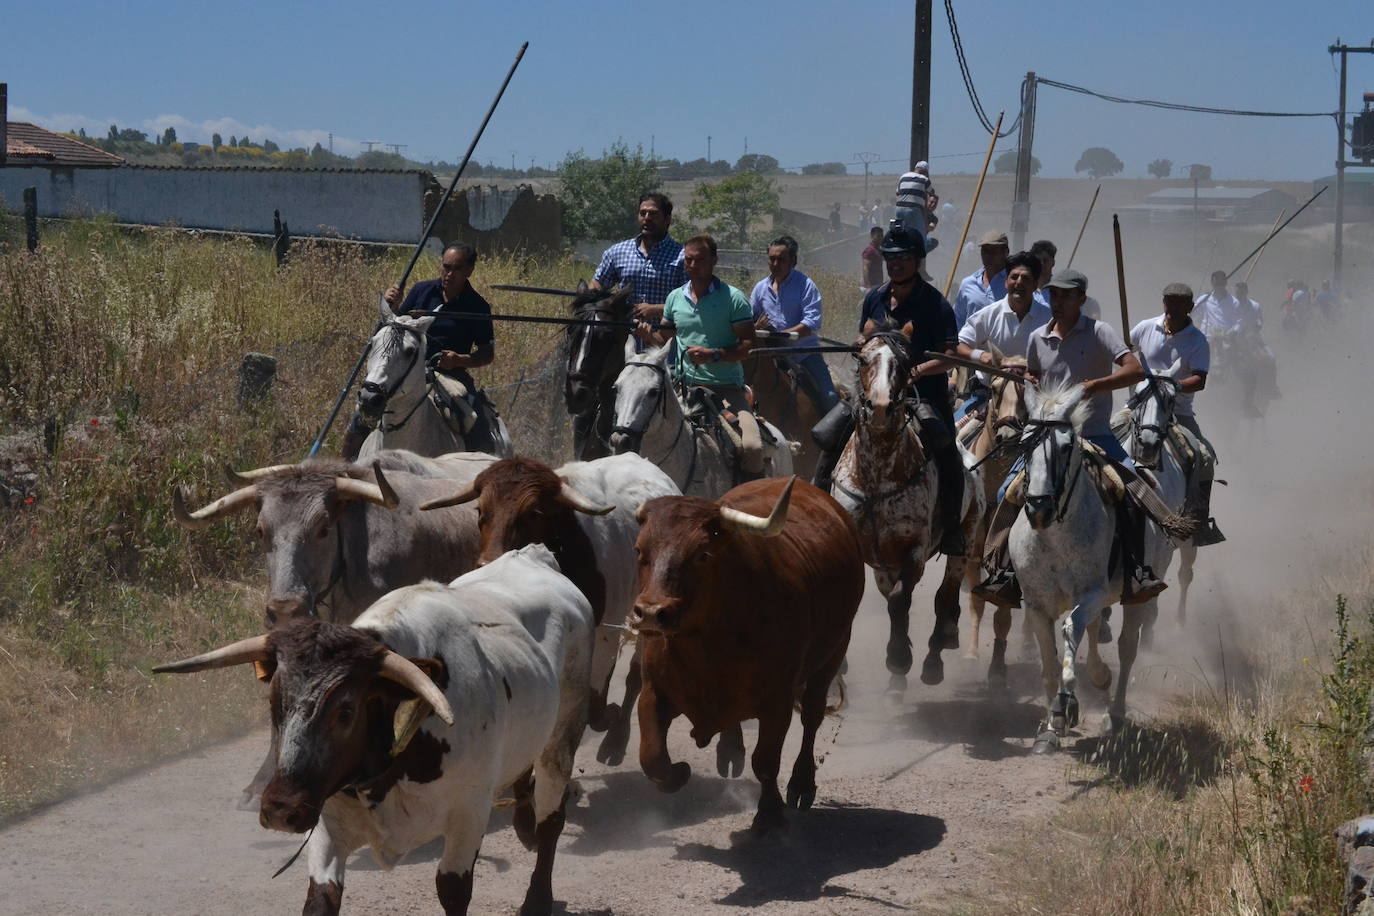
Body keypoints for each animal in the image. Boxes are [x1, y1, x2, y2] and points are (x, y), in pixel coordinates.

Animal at [153, 543, 593, 916]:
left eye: (346, 710)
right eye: (274, 700)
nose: (280, 809)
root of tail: (533, 554)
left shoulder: (469, 818)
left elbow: (453, 892)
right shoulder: (328, 825)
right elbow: (321, 897)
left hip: (563, 733)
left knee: (552, 818)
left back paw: (538, 896)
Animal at [629, 477, 857, 834]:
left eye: (703, 554)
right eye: (640, 550)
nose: (651, 612)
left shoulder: (778, 701)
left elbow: (765, 761)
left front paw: (770, 812)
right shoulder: (654, 691)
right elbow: (651, 757)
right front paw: (679, 773)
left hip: (834, 652)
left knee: (812, 715)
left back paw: (802, 783)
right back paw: (730, 749)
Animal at [829, 325, 983, 692]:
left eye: (904, 361)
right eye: (862, 358)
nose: (880, 408)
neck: (877, 475)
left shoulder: (913, 551)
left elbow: (901, 601)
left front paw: (899, 658)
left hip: (966, 540)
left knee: (944, 598)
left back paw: (935, 656)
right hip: (884, 564)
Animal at [1011, 381, 1181, 752]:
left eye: (1065, 447)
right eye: (1024, 443)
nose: (1039, 509)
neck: (1055, 537)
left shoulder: (1092, 594)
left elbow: (1070, 633)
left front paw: (1065, 707)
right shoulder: (1036, 605)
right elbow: (1048, 665)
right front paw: (1049, 728)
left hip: (1138, 596)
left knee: (1127, 647)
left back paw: (1114, 711)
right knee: (1094, 632)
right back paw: (1099, 676)